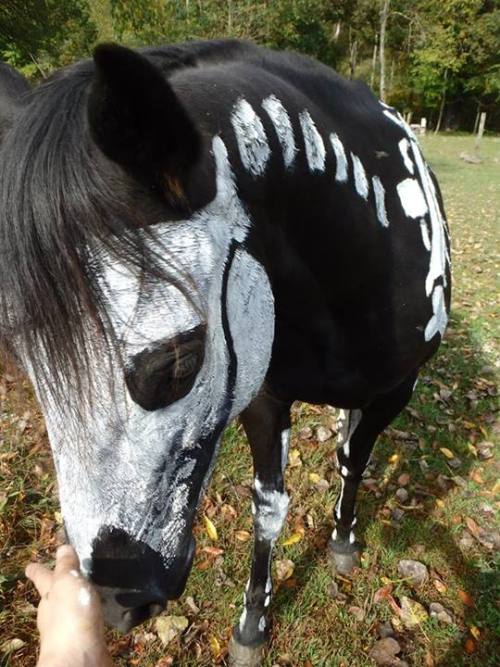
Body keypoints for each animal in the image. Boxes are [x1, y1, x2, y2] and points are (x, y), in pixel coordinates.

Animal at [0, 40, 452, 664]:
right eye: (25, 365)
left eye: (178, 364)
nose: (115, 602)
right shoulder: (264, 396)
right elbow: (270, 508)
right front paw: (252, 623)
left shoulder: (396, 391)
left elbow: (354, 461)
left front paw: (342, 540)